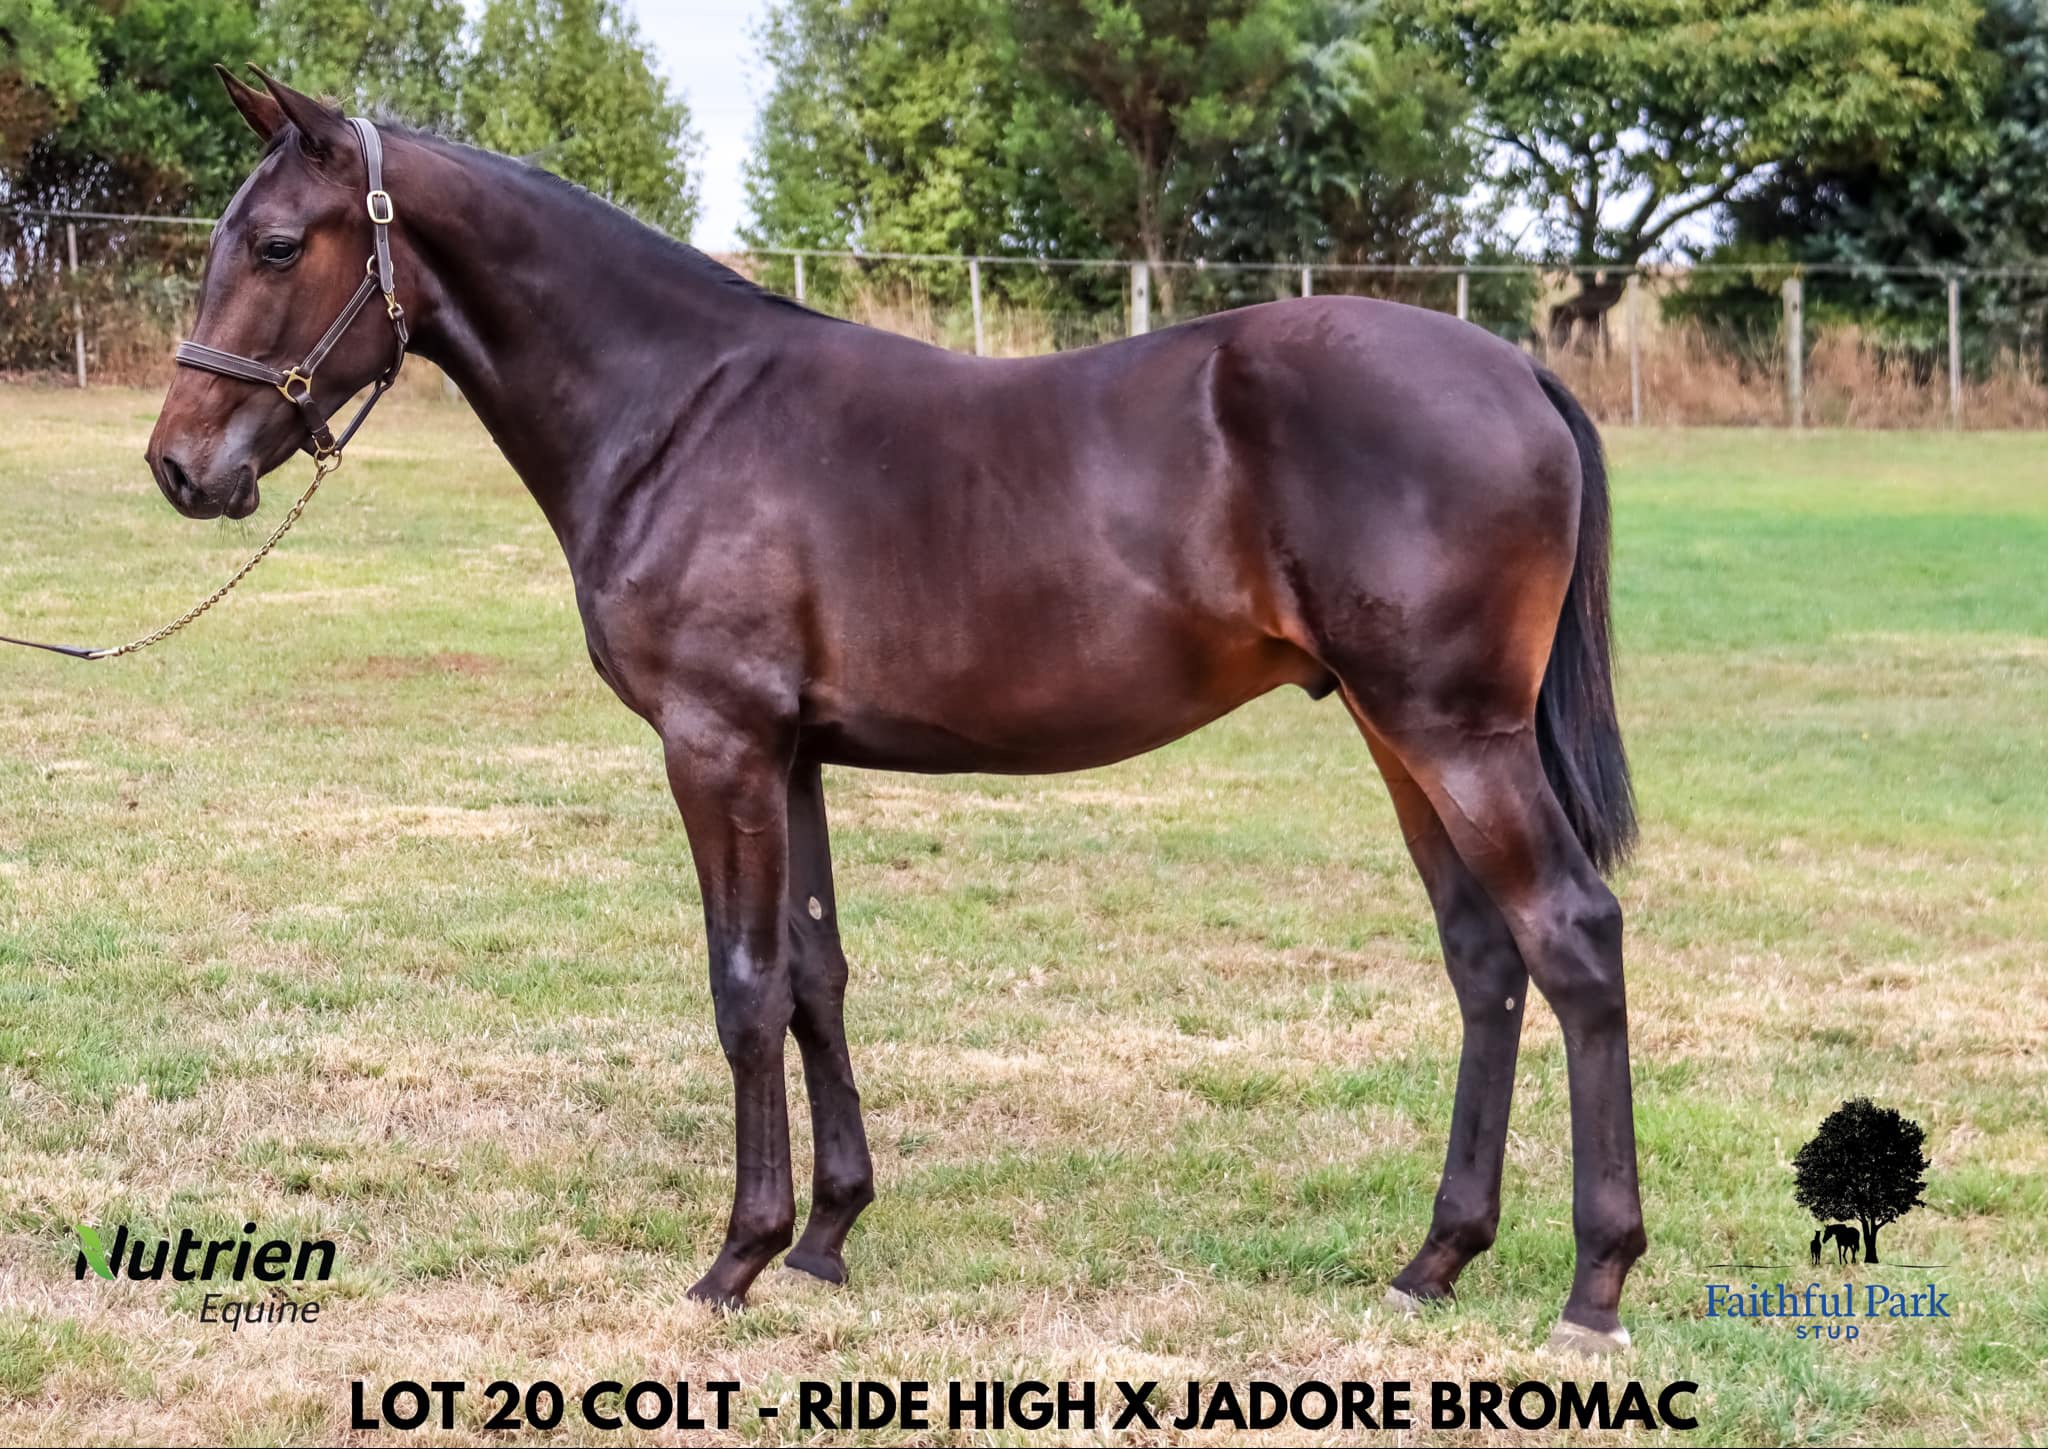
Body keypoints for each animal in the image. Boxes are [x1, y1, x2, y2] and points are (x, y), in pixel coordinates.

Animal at [142, 68, 1646, 1353]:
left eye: (274, 245)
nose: (178, 468)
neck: (676, 412)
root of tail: (1513, 369)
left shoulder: (718, 749)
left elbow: (745, 986)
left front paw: (735, 1258)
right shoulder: (793, 757)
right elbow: (817, 977)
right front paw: (825, 1239)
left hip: (1454, 735)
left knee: (1571, 939)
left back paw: (1593, 1286)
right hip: (1401, 739)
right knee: (1483, 959)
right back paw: (1434, 1260)